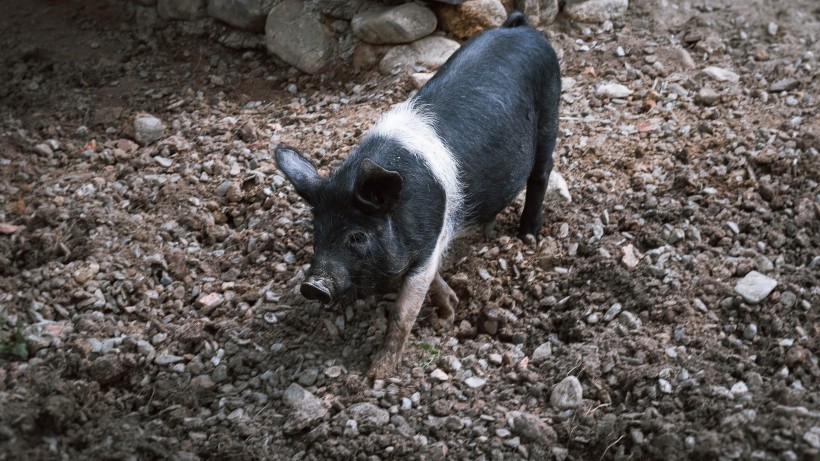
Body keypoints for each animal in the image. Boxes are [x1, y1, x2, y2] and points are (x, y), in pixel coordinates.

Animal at [274, 11, 556, 378]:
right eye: (316, 232)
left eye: (358, 236)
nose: (313, 286)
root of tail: (520, 27)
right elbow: (432, 281)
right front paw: (450, 312)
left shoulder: (430, 242)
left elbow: (404, 311)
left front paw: (377, 373)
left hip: (551, 110)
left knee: (541, 173)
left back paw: (528, 237)